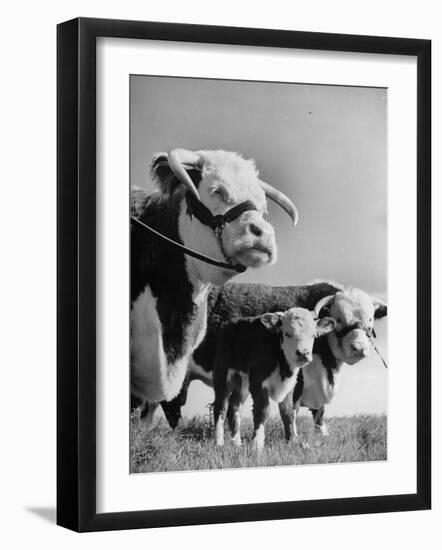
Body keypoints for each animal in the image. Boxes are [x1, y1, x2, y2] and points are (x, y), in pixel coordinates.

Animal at [212, 308, 334, 450]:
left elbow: (288, 412)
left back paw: (236, 442)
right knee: (221, 406)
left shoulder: (290, 385)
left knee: (234, 406)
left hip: (243, 382)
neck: (283, 366)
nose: (303, 353)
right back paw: (219, 441)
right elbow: (263, 410)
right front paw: (257, 444)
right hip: (222, 376)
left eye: (313, 335)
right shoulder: (258, 383)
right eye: (287, 333)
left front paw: (291, 440)